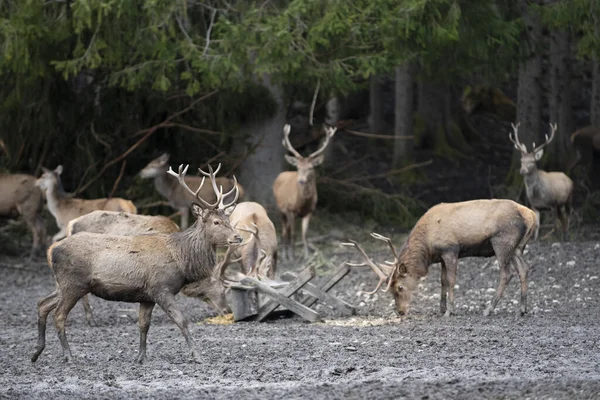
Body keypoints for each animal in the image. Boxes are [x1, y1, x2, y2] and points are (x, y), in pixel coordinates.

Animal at [31, 164, 243, 364]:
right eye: (216, 222)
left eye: (228, 219)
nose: (238, 237)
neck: (181, 259)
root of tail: (51, 250)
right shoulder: (161, 288)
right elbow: (181, 321)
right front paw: (197, 356)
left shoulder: (146, 296)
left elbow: (143, 325)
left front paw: (141, 357)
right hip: (73, 284)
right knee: (58, 315)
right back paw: (68, 355)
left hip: (64, 284)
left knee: (42, 303)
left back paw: (36, 352)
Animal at [274, 124, 336, 260]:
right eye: (298, 167)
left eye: (310, 168)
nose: (301, 180)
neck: (302, 203)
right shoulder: (290, 210)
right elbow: (293, 234)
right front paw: (292, 257)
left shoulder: (310, 211)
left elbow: (305, 234)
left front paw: (306, 256)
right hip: (280, 209)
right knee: (284, 231)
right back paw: (284, 255)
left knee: (286, 230)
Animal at [344, 200, 536, 318]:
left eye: (399, 287)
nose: (400, 312)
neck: (428, 248)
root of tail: (531, 215)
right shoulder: (441, 256)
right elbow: (442, 281)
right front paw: (441, 308)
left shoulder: (450, 249)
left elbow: (451, 280)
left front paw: (449, 311)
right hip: (517, 247)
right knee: (524, 269)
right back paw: (522, 309)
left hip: (501, 241)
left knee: (507, 273)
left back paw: (489, 309)